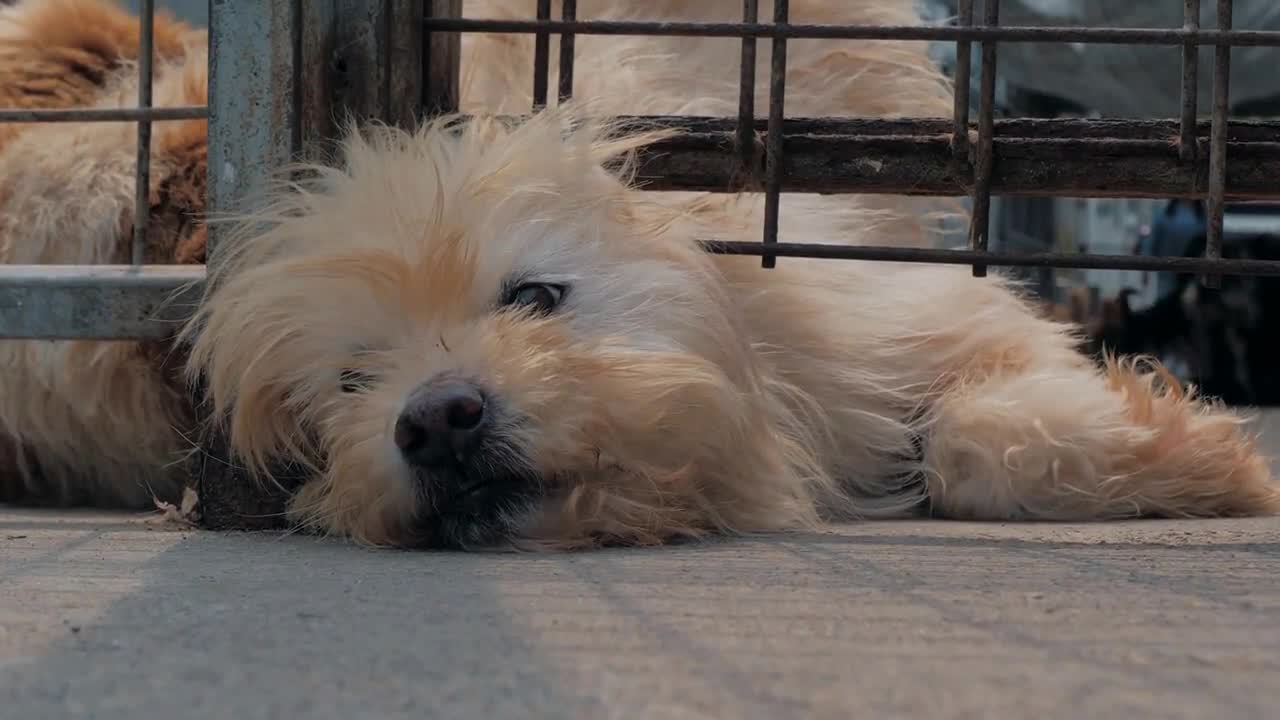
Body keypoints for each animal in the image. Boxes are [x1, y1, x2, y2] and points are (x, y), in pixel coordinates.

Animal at [2, 1, 1280, 548]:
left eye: (534, 295)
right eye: (353, 385)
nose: (438, 420)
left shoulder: (934, 325)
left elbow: (977, 437)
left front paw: (1205, 465)